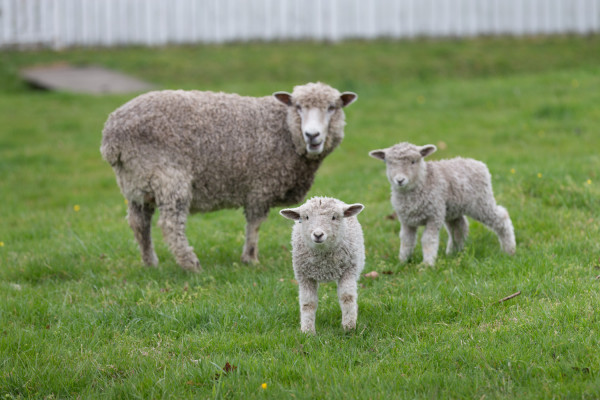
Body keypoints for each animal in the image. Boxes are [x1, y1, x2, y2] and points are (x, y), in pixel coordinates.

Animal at [101, 83, 358, 274]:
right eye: (297, 106)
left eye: (332, 107)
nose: (312, 135)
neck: (285, 131)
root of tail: (112, 135)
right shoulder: (260, 187)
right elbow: (254, 225)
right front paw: (250, 258)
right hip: (168, 177)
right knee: (170, 224)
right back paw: (191, 265)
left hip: (136, 182)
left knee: (139, 223)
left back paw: (150, 263)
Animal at [280, 197, 366, 334]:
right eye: (306, 217)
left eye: (334, 217)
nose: (318, 235)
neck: (324, 262)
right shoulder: (304, 276)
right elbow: (308, 303)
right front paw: (307, 331)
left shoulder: (349, 270)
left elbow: (347, 297)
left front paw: (349, 327)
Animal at [370, 142, 516, 268]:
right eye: (389, 163)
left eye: (413, 161)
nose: (400, 180)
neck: (423, 181)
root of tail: (476, 163)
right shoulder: (406, 220)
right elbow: (406, 240)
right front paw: (402, 261)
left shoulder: (434, 215)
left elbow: (428, 240)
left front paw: (427, 265)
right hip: (453, 209)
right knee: (459, 227)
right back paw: (453, 253)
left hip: (481, 201)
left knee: (501, 217)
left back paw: (509, 250)